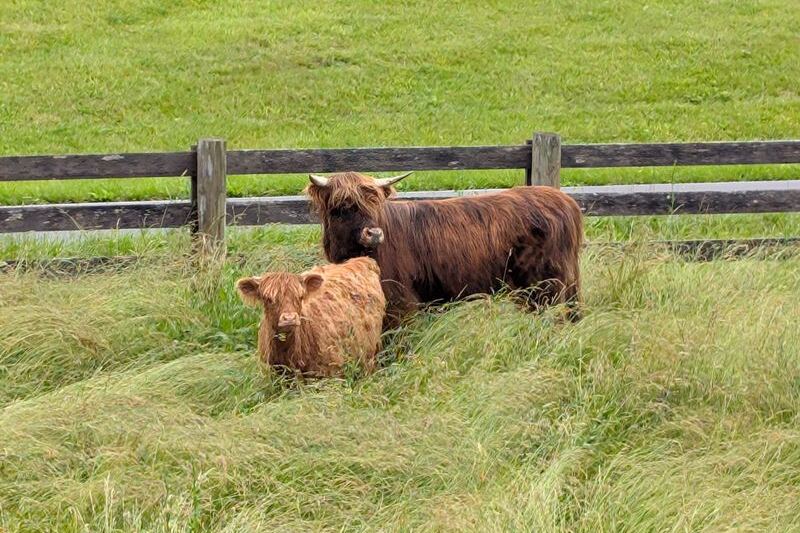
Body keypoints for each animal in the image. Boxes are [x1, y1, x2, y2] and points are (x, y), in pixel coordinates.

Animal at [305, 172, 583, 325]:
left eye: (374, 204)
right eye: (343, 207)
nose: (374, 233)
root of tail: (565, 201)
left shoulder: (399, 300)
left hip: (543, 285)